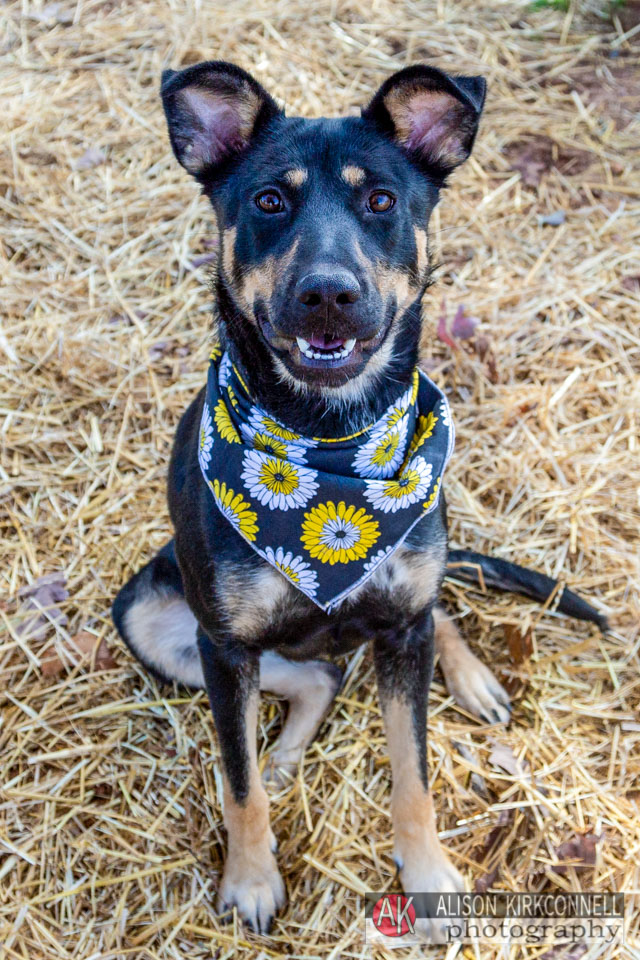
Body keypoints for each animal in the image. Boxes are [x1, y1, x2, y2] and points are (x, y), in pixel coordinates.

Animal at [112, 62, 608, 936]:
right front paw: (251, 876)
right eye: (269, 201)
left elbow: (414, 773)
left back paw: (471, 678)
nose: (328, 295)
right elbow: (236, 780)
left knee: (427, 612)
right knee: (316, 681)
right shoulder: (224, 648)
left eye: (380, 200)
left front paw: (428, 874)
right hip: (149, 615)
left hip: (408, 581)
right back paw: (283, 759)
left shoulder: (402, 625)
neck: (329, 445)